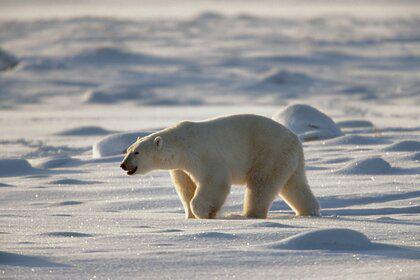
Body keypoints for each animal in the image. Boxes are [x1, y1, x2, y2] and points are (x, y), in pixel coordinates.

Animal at [120, 114, 320, 219]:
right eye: (127, 150)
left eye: (136, 153)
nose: (123, 165)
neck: (181, 145)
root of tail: (296, 139)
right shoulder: (180, 168)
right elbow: (185, 186)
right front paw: (189, 216)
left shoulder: (203, 155)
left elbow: (214, 181)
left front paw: (207, 213)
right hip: (287, 159)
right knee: (294, 185)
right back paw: (308, 211)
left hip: (268, 153)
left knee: (261, 185)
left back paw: (250, 214)